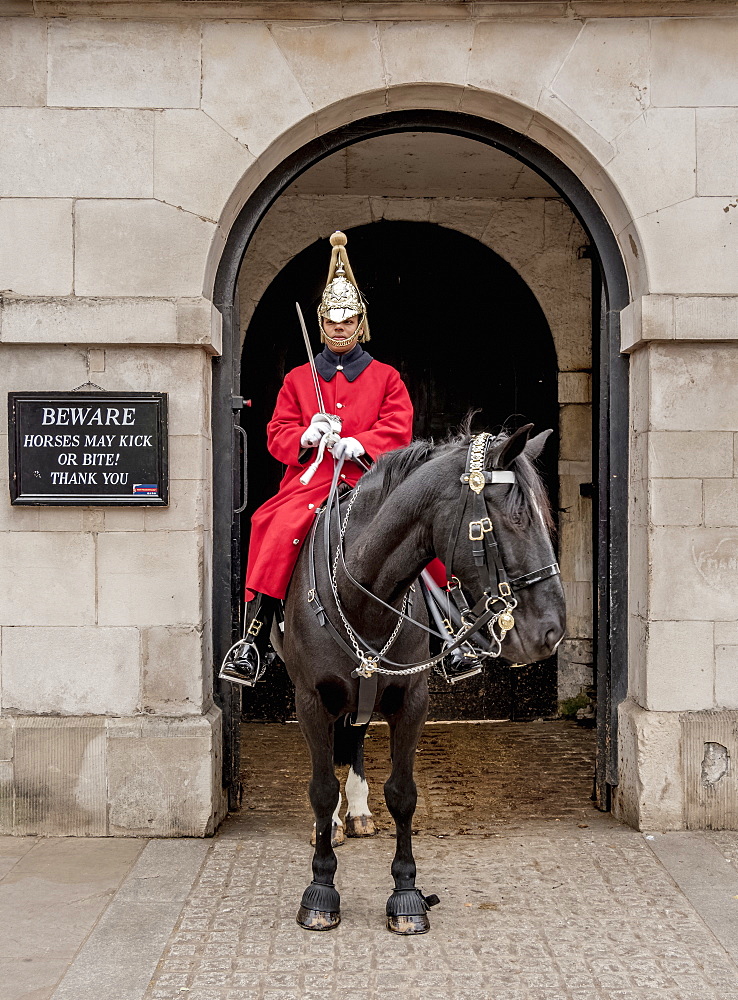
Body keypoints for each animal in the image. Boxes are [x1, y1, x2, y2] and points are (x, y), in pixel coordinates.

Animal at [282, 426, 564, 932]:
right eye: (516, 518)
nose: (552, 631)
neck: (363, 597)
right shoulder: (311, 700)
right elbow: (320, 790)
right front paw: (321, 889)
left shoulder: (411, 702)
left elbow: (402, 794)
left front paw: (406, 893)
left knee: (355, 739)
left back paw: (357, 810)